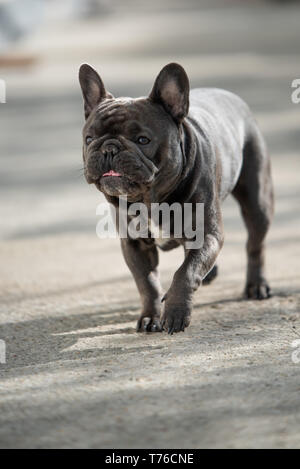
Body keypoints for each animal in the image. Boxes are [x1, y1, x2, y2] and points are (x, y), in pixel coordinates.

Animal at [78, 61, 274, 332]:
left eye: (143, 139)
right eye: (89, 138)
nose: (109, 148)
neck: (150, 201)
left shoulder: (207, 234)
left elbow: (186, 272)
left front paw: (176, 312)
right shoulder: (134, 244)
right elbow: (147, 283)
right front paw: (151, 316)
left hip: (258, 203)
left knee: (256, 244)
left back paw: (257, 285)